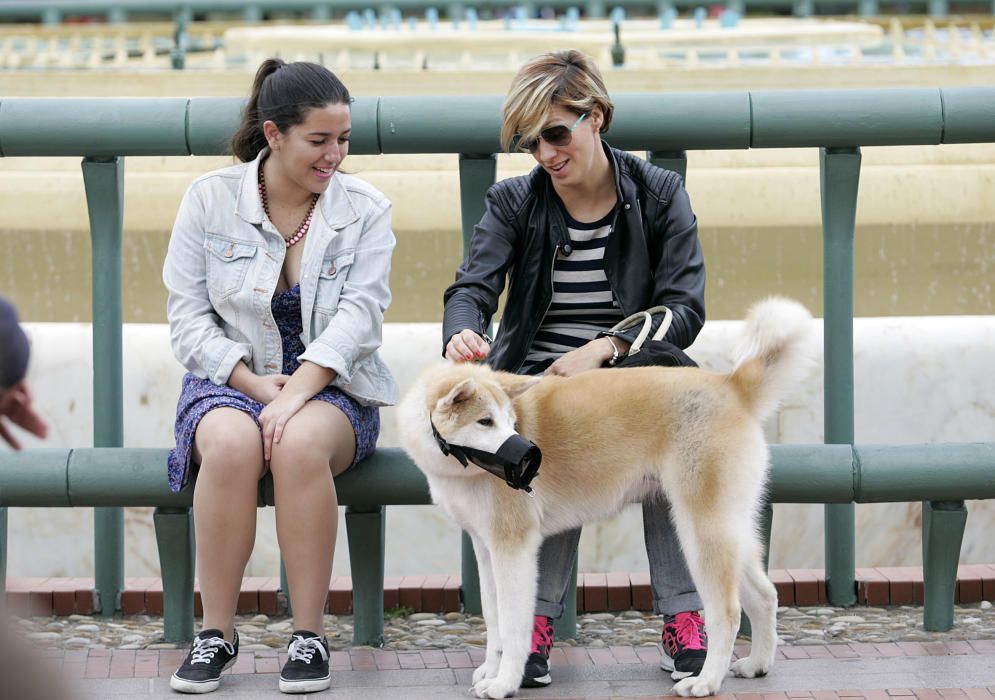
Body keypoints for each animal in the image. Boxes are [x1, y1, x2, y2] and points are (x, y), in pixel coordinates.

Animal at [396, 298, 816, 696]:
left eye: (510, 422)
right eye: (486, 421)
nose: (530, 456)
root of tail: (732, 385)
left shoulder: (512, 549)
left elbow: (513, 628)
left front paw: (503, 683)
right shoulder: (486, 550)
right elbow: (494, 620)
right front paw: (490, 670)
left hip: (700, 533)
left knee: (727, 612)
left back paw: (706, 681)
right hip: (730, 530)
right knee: (765, 596)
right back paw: (757, 664)